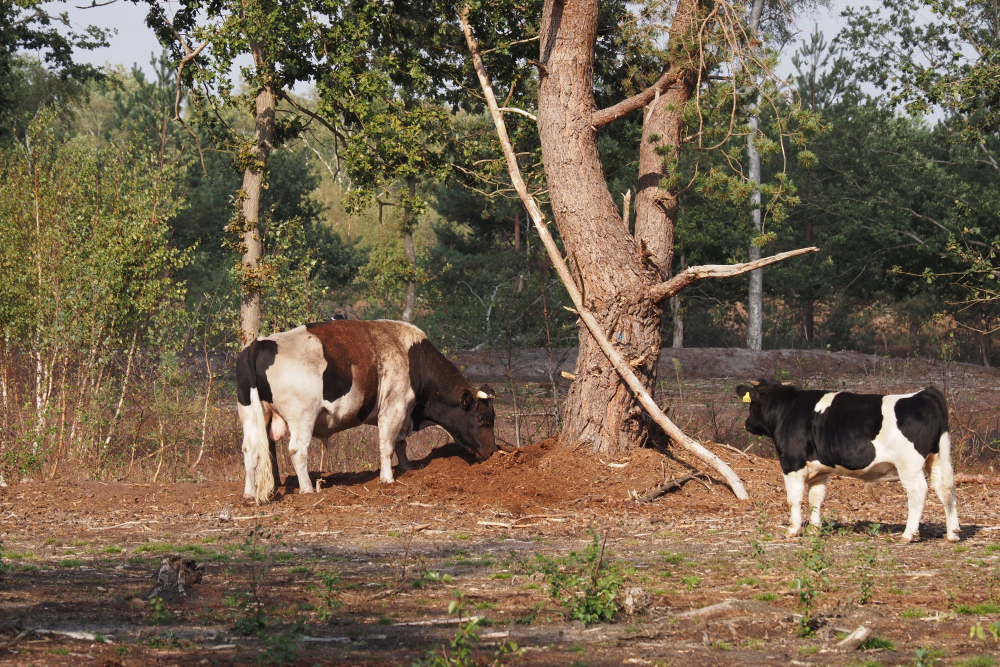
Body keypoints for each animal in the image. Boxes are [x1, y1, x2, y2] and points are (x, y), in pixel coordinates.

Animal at [236, 319, 498, 504]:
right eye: (480, 418)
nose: (492, 452)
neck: (414, 358)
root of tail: (262, 342)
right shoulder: (394, 408)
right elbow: (387, 445)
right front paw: (388, 478)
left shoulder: (402, 414)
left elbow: (400, 444)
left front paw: (407, 468)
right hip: (302, 417)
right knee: (297, 451)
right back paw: (308, 489)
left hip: (251, 415)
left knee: (250, 450)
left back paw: (249, 492)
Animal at [736, 379, 959, 542]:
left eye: (751, 405)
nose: (747, 424)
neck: (788, 409)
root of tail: (924, 393)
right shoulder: (821, 470)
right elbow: (815, 498)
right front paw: (814, 530)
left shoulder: (792, 462)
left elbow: (794, 498)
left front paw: (793, 529)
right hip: (936, 458)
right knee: (946, 488)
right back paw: (952, 533)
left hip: (909, 464)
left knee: (918, 491)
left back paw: (908, 534)